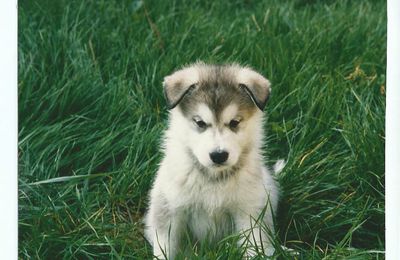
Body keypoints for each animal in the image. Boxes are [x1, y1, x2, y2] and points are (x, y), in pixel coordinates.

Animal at [145, 62, 280, 258]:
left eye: (234, 122)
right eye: (200, 122)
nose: (218, 155)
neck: (214, 178)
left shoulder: (250, 212)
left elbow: (254, 246)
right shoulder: (170, 209)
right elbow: (165, 249)